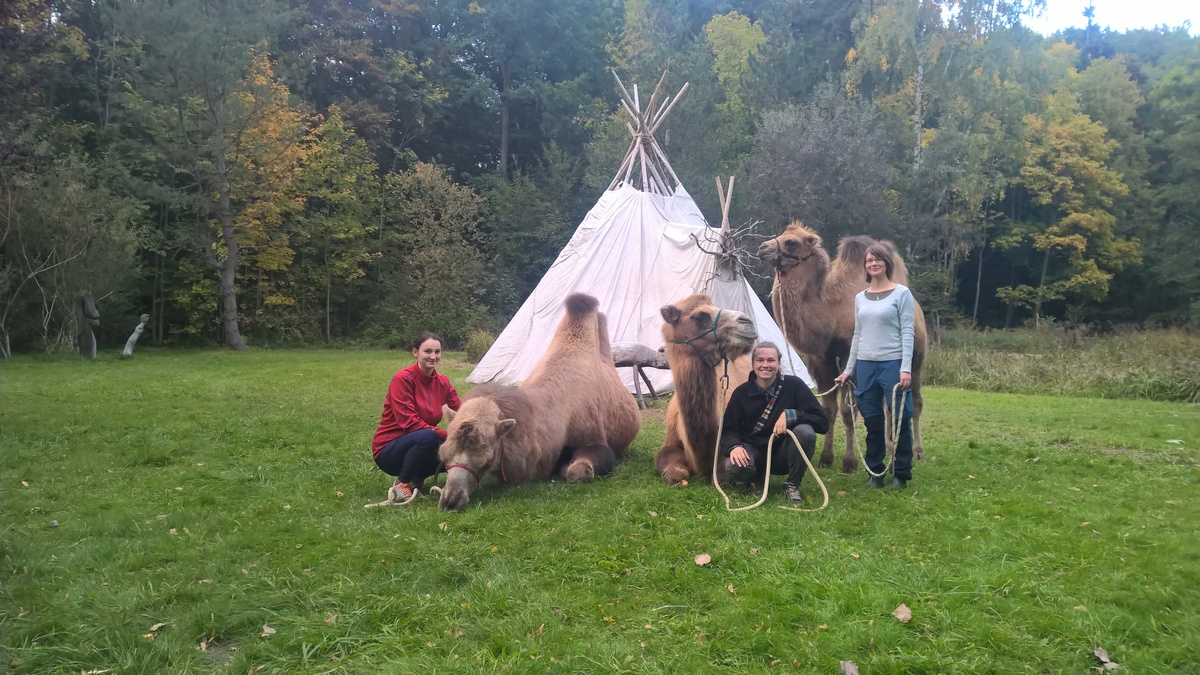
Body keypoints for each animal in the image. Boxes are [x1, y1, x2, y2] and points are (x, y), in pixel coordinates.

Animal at [758, 223, 926, 470]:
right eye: (781, 235)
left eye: (791, 242)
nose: (762, 248)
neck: (831, 313)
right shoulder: (822, 361)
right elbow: (828, 411)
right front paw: (826, 458)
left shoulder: (850, 360)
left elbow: (848, 412)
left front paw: (850, 462)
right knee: (889, 403)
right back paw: (889, 447)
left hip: (916, 358)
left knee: (915, 401)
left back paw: (917, 452)